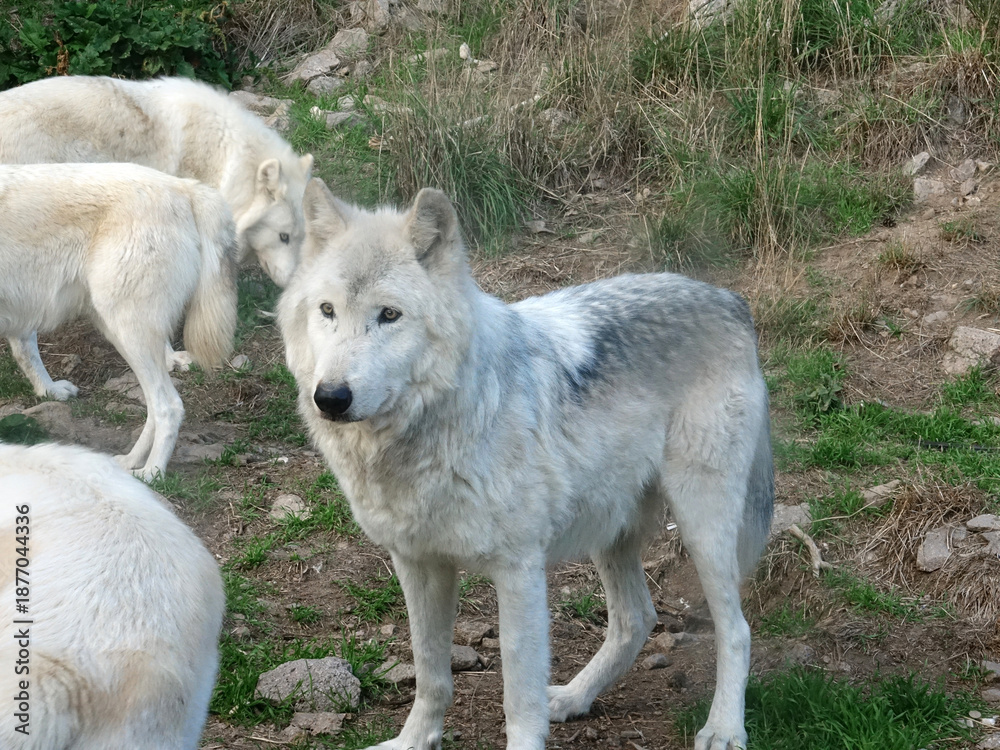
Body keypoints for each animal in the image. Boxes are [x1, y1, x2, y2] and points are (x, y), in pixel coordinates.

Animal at [0, 163, 238, 480]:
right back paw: (130, 461)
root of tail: (184, 187)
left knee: (169, 405)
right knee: (154, 405)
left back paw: (152, 472)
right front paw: (50, 391)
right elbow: (26, 351)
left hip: (130, 332)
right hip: (118, 331)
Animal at [278, 181, 775, 750]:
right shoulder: (418, 563)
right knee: (636, 619)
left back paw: (724, 728)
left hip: (702, 524)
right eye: (327, 310)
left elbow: (518, 695)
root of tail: (730, 300)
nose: (331, 397)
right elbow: (430, 673)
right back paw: (576, 697)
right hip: (611, 530)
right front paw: (413, 741)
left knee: (735, 630)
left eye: (389, 315)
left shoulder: (518, 569)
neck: (437, 430)